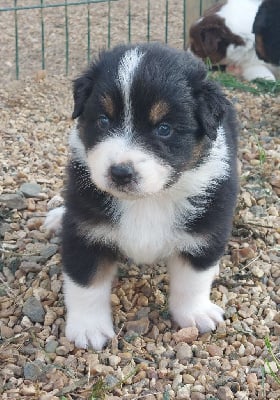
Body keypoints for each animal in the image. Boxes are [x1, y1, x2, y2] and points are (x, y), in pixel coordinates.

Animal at [45, 43, 238, 350]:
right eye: (103, 120)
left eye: (164, 128)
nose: (120, 173)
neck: (149, 201)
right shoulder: (84, 229)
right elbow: (86, 283)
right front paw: (89, 329)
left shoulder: (206, 227)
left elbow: (193, 279)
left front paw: (195, 314)